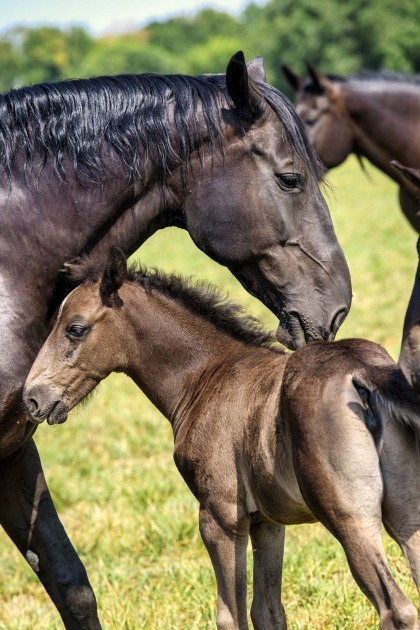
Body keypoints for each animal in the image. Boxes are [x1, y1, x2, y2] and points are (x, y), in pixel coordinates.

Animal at [23, 248, 420, 630]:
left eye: (75, 328)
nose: (32, 398)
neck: (206, 376)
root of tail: (361, 373)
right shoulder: (267, 523)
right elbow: (268, 612)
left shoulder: (220, 518)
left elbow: (231, 616)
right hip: (406, 514)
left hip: (349, 517)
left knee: (396, 610)